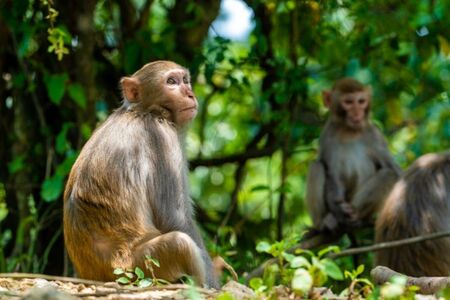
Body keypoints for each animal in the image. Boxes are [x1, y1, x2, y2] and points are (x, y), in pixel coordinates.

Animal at [63, 59, 218, 288]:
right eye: (171, 82)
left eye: (185, 80)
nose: (190, 93)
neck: (143, 111)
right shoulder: (162, 136)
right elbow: (175, 218)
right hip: (139, 267)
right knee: (180, 244)